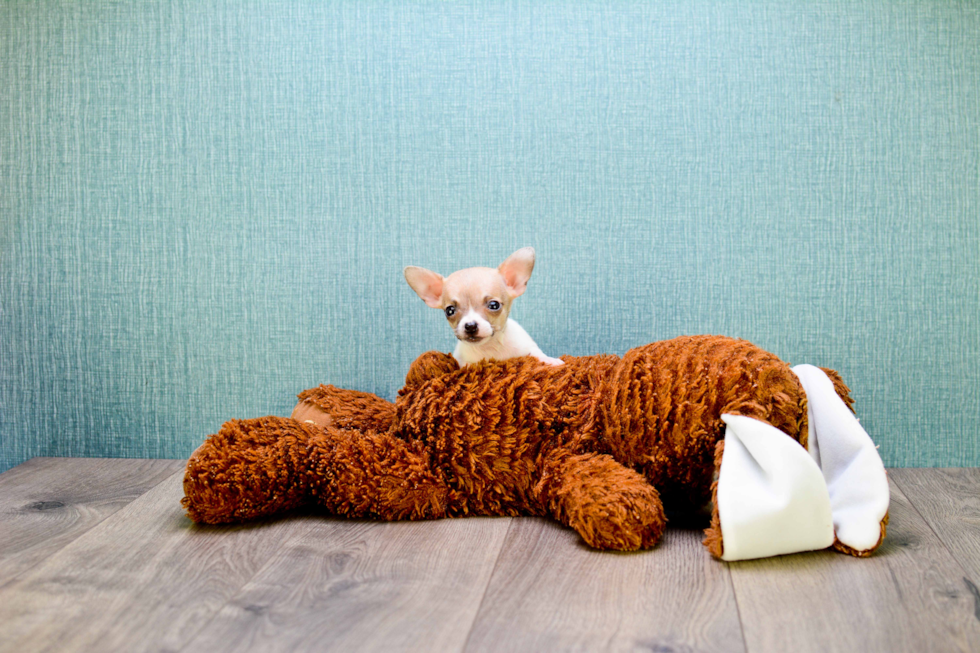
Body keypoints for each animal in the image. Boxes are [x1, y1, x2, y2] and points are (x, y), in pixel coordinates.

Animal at [402, 247, 564, 366]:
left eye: (494, 305)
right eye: (449, 311)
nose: (470, 326)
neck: (490, 348)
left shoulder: (526, 347)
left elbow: (536, 353)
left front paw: (550, 360)